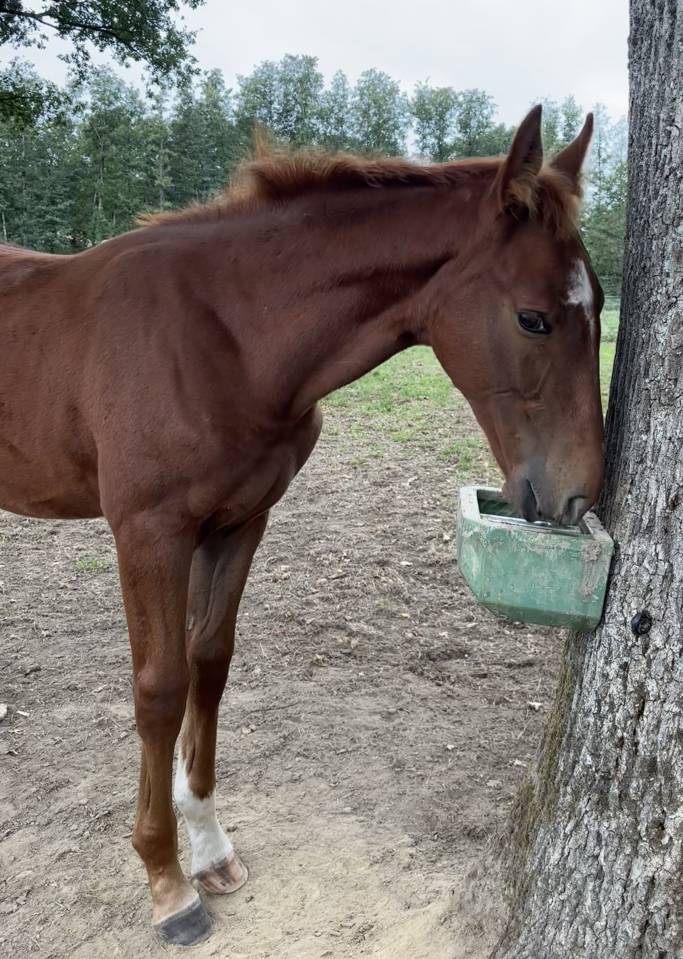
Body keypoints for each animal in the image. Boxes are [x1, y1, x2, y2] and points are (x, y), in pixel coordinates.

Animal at [0, 105, 604, 945]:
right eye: (533, 318)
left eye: (601, 303)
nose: (579, 493)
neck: (223, 336)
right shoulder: (148, 532)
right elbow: (159, 688)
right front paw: (166, 882)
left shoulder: (240, 520)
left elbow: (209, 664)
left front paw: (209, 845)